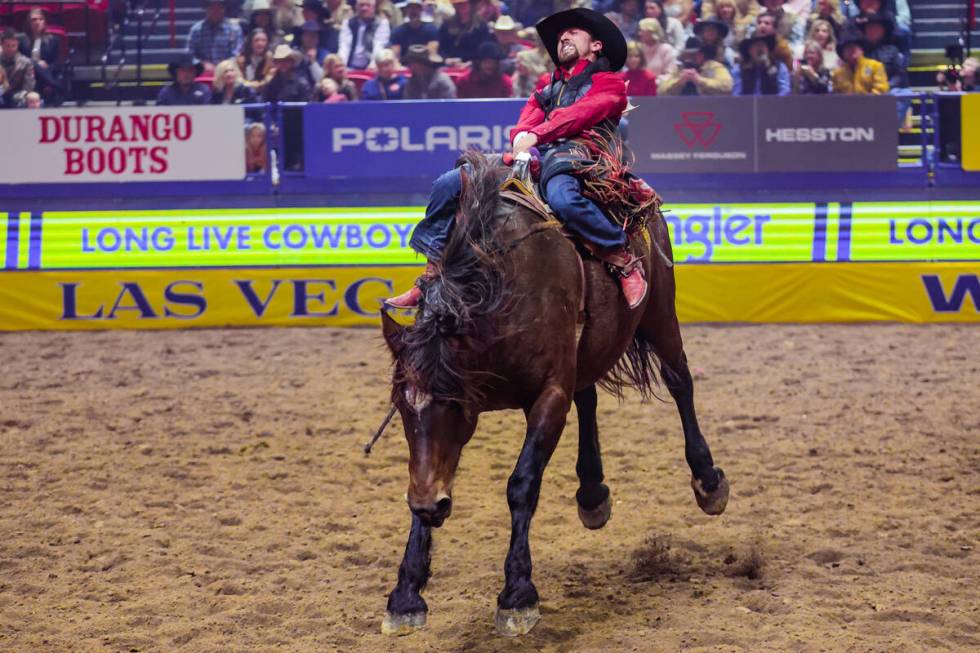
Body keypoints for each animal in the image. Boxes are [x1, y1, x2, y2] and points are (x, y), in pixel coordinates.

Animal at [378, 150, 732, 636]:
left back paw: (708, 480)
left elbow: (521, 484)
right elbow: (426, 473)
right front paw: (406, 595)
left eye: (452, 403)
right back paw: (592, 494)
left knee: (680, 381)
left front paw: (517, 595)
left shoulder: (549, 396)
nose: (431, 506)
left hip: (661, 311)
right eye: (401, 408)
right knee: (589, 398)